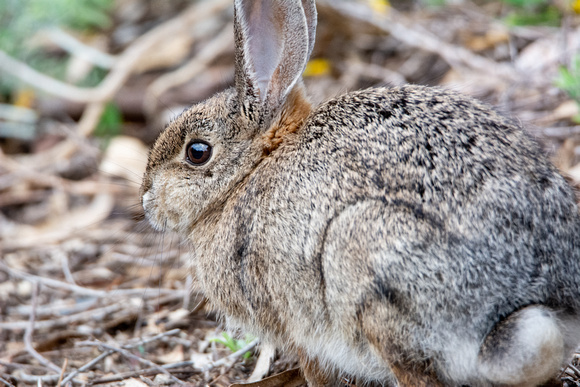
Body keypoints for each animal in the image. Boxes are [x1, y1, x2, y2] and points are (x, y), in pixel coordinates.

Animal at [140, 0, 580, 387]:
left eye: (197, 152)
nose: (146, 202)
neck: (252, 169)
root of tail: (552, 293)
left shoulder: (298, 326)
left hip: (369, 270)